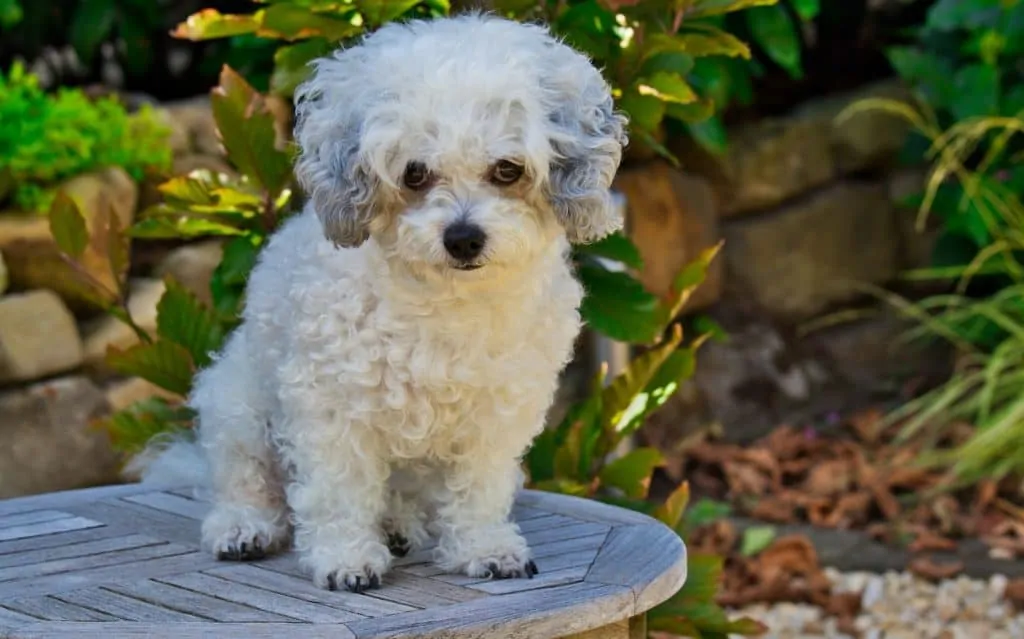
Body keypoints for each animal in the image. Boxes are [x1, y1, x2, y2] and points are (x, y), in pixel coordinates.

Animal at [133, 13, 626, 593]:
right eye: (415, 173)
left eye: (507, 170)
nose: (463, 238)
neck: (448, 302)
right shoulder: (331, 406)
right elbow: (338, 490)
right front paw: (345, 558)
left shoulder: (496, 413)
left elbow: (479, 488)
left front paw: (482, 548)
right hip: (236, 406)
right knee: (245, 481)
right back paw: (244, 527)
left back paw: (396, 526)